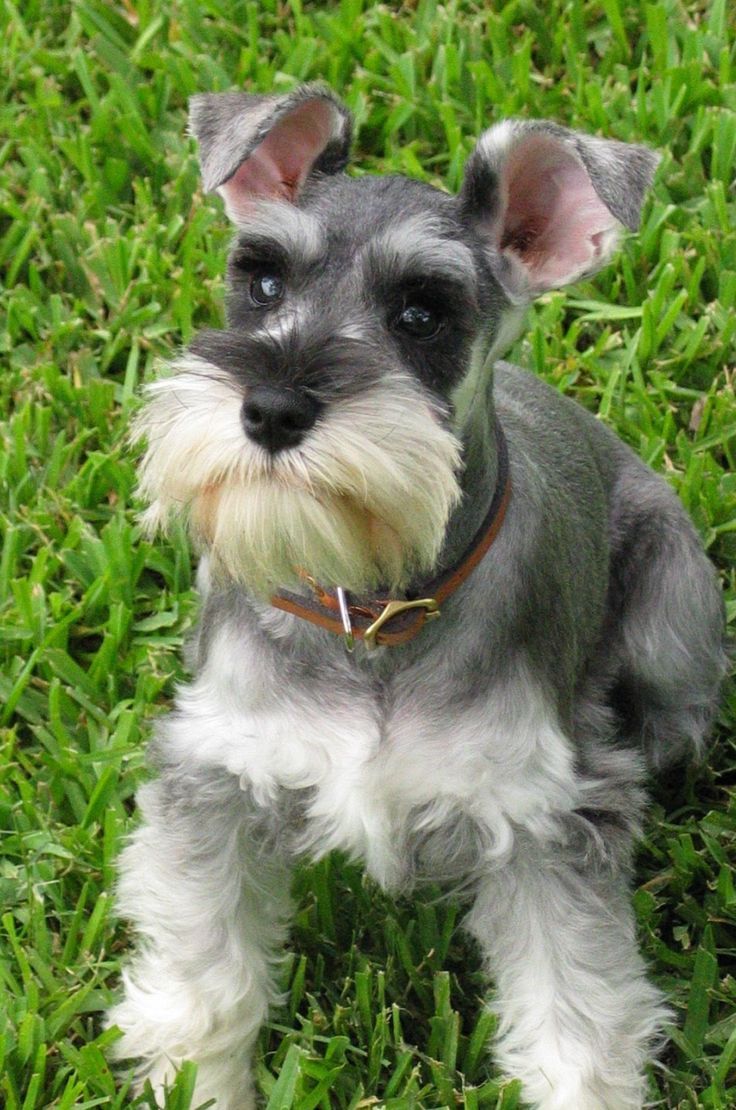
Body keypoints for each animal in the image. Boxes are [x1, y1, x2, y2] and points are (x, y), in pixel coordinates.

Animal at [112, 86, 728, 1110]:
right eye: (262, 281)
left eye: (421, 313)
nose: (272, 409)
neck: (371, 610)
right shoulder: (218, 777)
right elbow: (205, 981)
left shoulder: (545, 821)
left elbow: (576, 1020)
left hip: (677, 615)